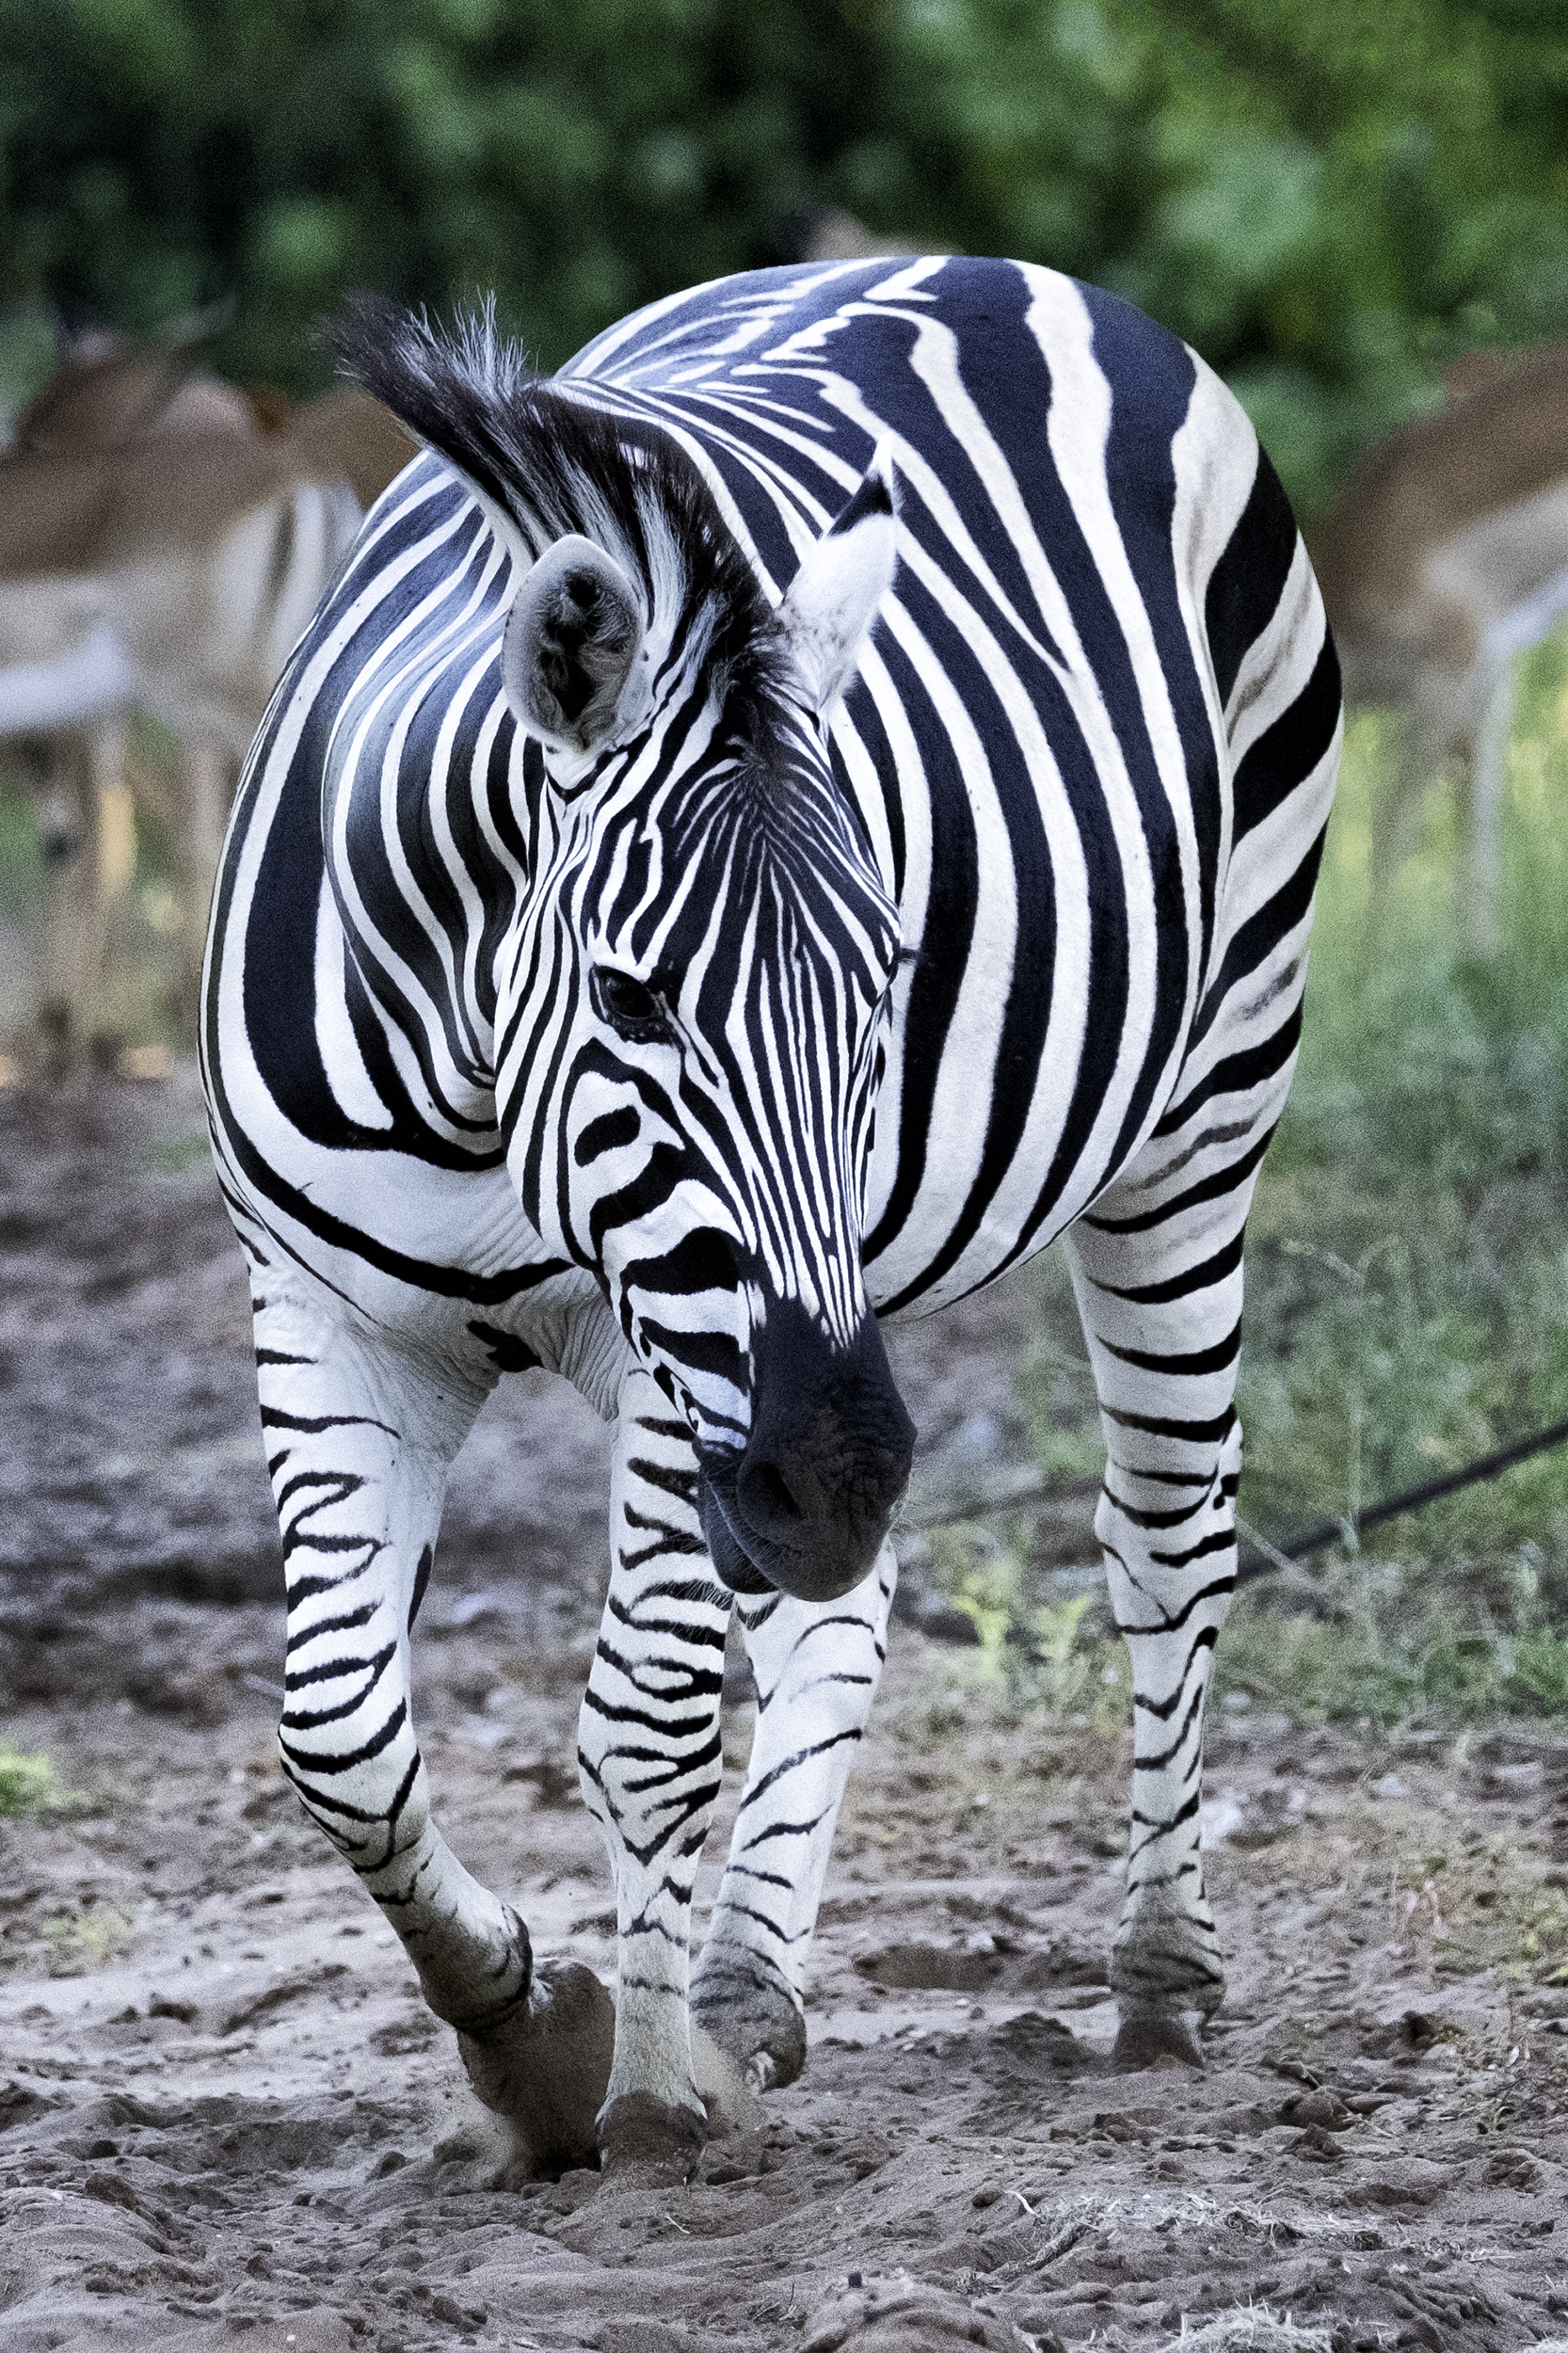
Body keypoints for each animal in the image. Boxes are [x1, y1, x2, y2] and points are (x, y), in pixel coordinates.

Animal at [200, 248, 1336, 2174]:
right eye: (633, 999)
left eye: (884, 979)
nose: (839, 1459)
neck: (465, 1082)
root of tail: (995, 266)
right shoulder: (332, 1315)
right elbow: (340, 1734)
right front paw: (529, 2035)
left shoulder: (673, 1357)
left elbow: (650, 1716)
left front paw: (644, 2093)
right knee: (844, 1601)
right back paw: (749, 1977)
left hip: (1202, 1102)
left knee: (1165, 1532)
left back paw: (1158, 1982)